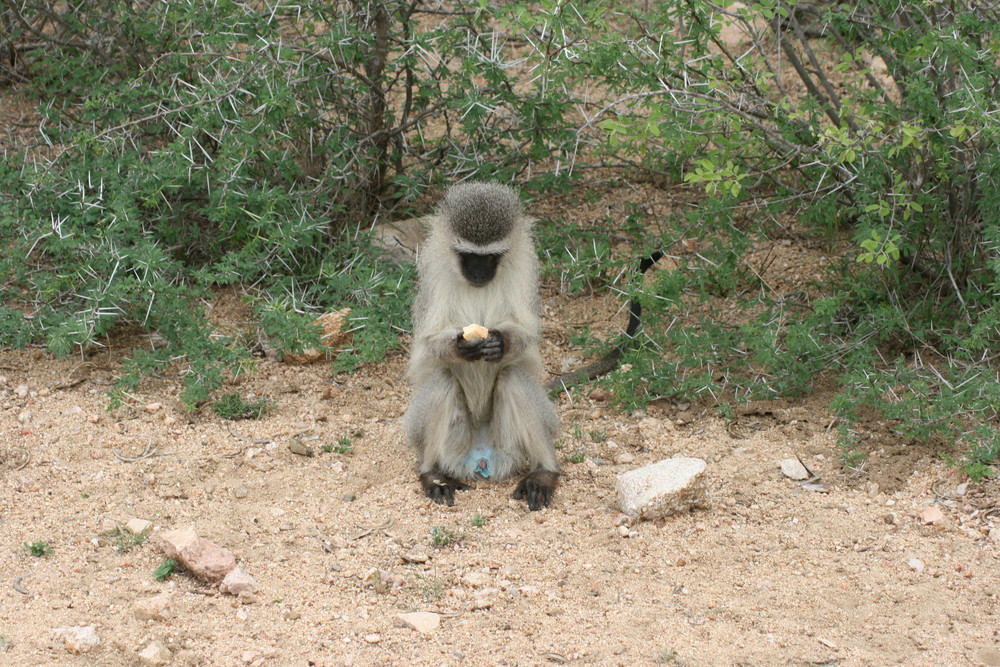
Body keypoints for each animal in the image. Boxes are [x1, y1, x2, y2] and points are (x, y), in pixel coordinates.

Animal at [406, 183, 564, 512]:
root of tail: (480, 457)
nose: (479, 274)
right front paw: (460, 347)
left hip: (509, 444)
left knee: (513, 376)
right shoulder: (433, 272)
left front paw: (501, 343)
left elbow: (527, 331)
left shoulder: (524, 268)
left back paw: (543, 473)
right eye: (467, 255)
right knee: (443, 379)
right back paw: (433, 475)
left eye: (491, 257)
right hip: (452, 447)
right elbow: (428, 340)